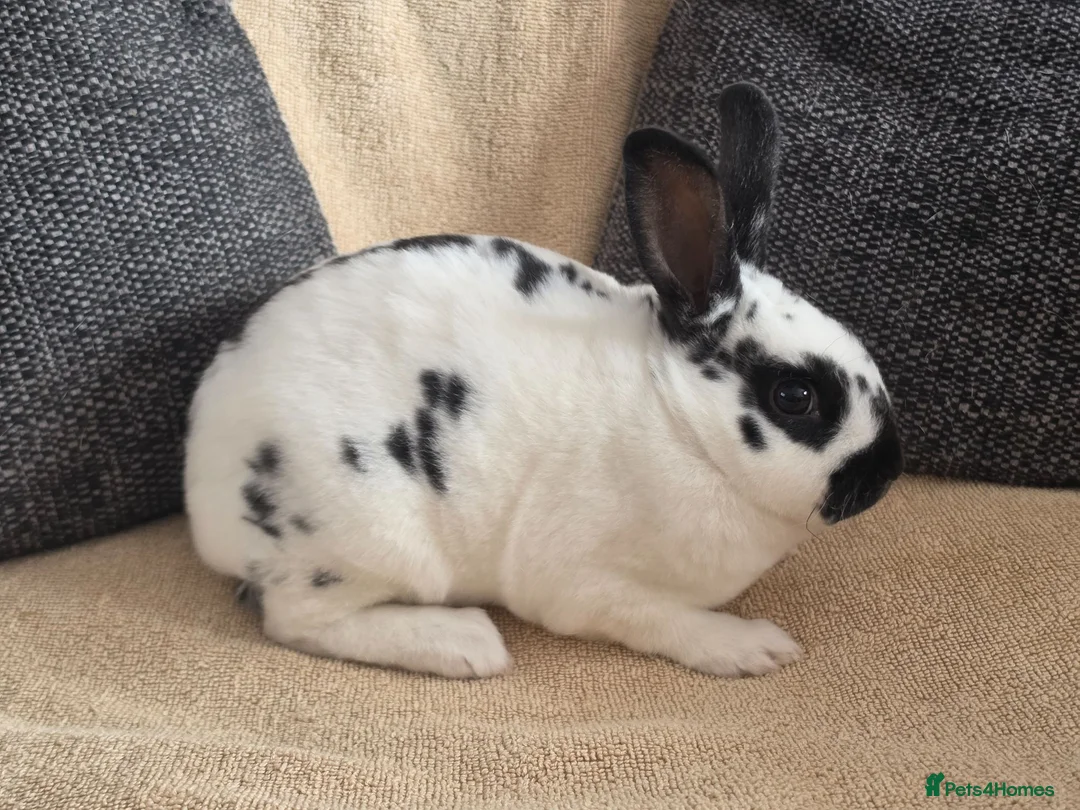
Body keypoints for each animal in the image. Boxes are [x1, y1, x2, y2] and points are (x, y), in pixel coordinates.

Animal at [184, 82, 902, 679]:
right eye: (795, 397)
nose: (886, 473)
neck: (680, 420)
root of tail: (200, 485)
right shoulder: (586, 583)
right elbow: (666, 621)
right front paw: (754, 647)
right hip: (369, 539)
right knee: (298, 622)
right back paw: (467, 645)